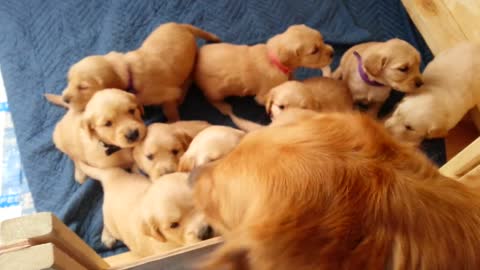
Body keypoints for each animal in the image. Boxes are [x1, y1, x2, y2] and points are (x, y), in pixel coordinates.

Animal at [59, 22, 220, 121]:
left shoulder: (167, 94)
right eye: (68, 80)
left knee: (188, 79)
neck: (128, 72)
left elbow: (169, 110)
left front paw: (173, 121)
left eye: (83, 87)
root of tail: (181, 26)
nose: (64, 99)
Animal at [77, 162, 216, 258]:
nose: (205, 232)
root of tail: (113, 177)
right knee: (106, 224)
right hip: (111, 220)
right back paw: (107, 237)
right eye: (174, 225)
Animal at [193, 23, 332, 115]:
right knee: (211, 99)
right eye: (314, 51)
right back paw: (223, 106)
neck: (272, 59)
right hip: (215, 92)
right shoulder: (263, 95)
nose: (333, 53)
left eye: (322, 39)